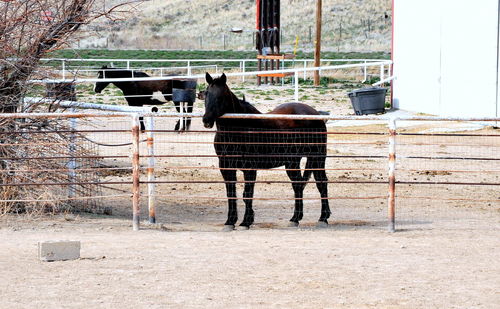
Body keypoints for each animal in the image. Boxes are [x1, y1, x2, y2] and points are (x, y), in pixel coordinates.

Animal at [201, 73, 330, 231]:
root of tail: (315, 114)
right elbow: (231, 193)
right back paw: (295, 219)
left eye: (221, 96)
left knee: (321, 183)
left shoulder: (249, 168)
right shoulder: (225, 166)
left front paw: (246, 222)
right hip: (292, 162)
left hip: (317, 157)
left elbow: (247, 194)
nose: (206, 120)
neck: (240, 127)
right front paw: (230, 222)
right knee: (297, 185)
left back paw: (323, 218)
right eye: (206, 94)